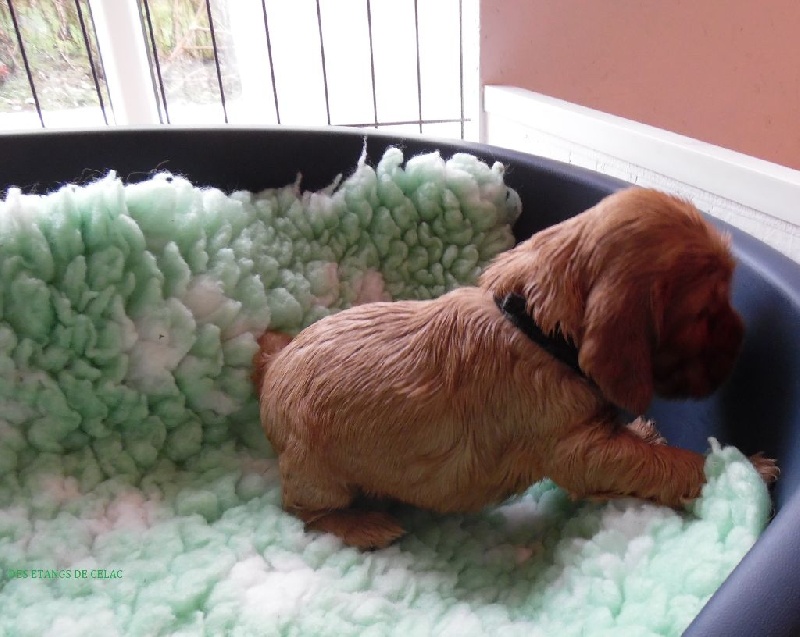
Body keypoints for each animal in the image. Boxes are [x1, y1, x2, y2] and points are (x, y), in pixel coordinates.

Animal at [254, 187, 778, 549]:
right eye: (704, 314)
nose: (746, 340)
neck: (538, 328)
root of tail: (273, 366)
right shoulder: (577, 450)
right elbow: (664, 463)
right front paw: (746, 468)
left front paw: (646, 430)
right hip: (316, 472)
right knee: (300, 511)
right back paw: (363, 525)